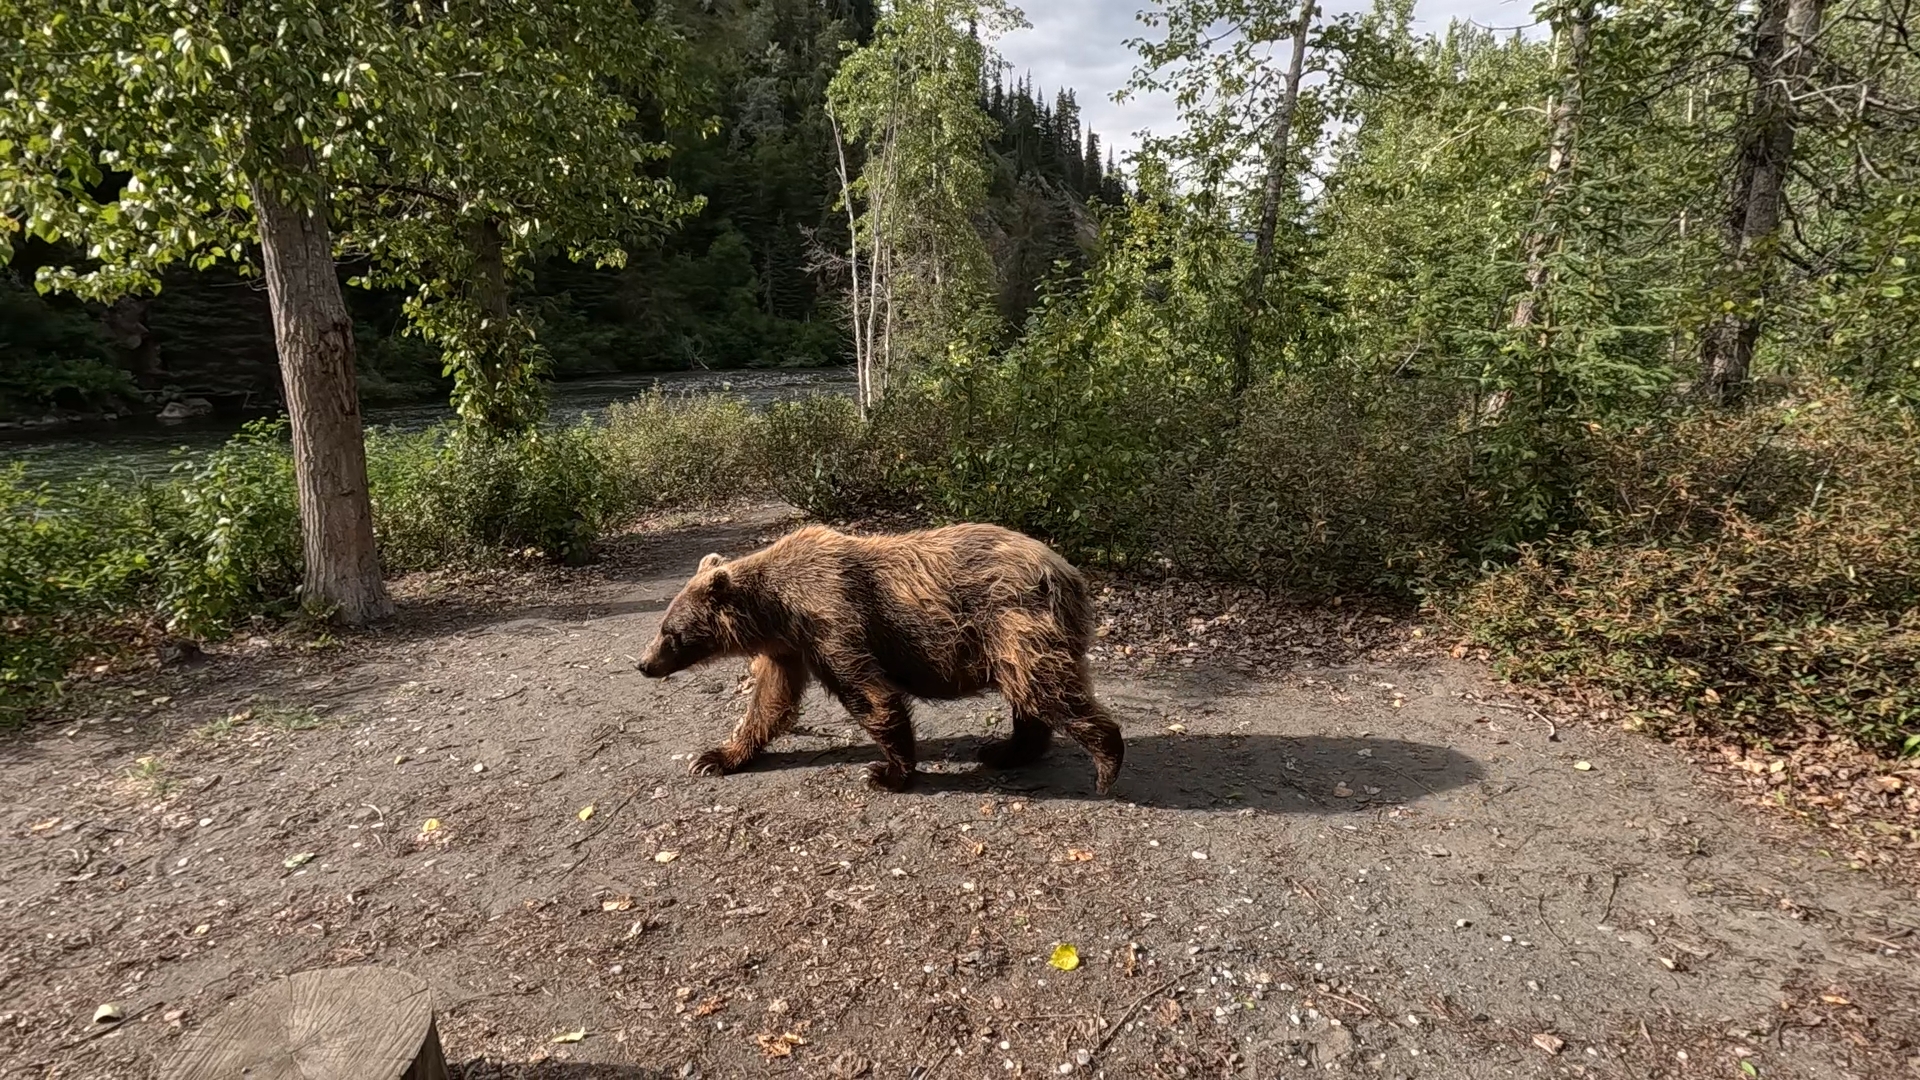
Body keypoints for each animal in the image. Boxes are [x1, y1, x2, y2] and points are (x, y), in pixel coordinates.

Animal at [637, 522, 1121, 791]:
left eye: (670, 631)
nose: (643, 664)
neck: (776, 611)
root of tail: (1070, 573)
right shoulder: (790, 649)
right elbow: (771, 703)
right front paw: (714, 758)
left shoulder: (832, 620)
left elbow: (869, 694)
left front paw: (886, 773)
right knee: (1029, 694)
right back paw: (1005, 750)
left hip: (1010, 620)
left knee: (1046, 687)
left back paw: (1106, 761)